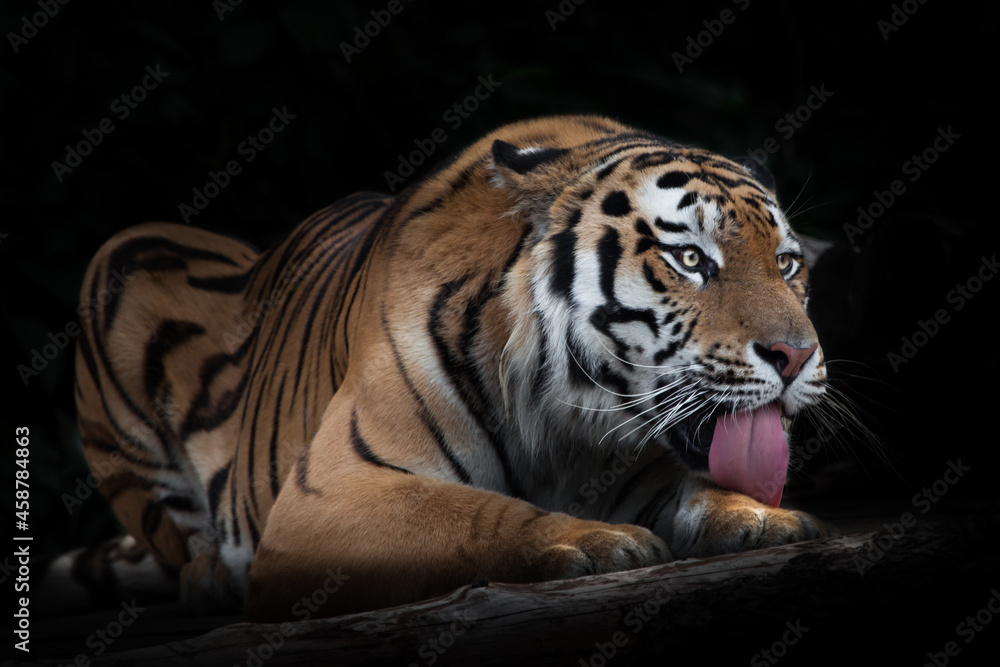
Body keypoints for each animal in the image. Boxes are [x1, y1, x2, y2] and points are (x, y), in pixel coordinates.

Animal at [74, 113, 832, 620]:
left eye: (787, 263)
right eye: (690, 259)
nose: (796, 356)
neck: (566, 426)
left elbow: (703, 489)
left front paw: (761, 517)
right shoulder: (330, 494)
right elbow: (475, 512)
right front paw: (595, 540)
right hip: (119, 255)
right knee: (181, 542)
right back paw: (210, 579)